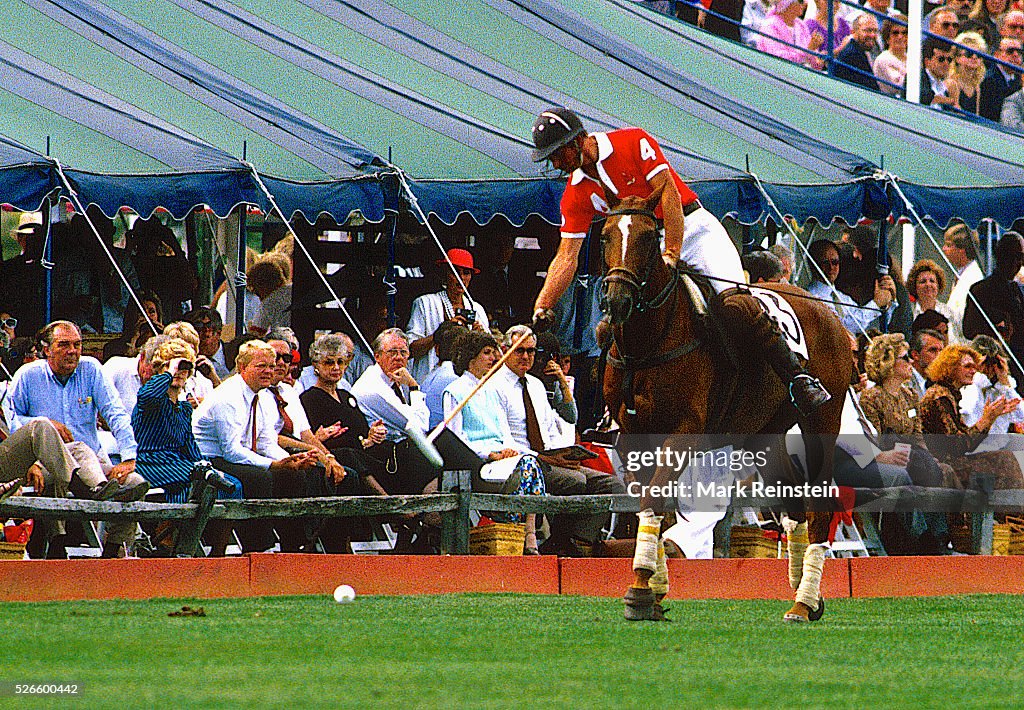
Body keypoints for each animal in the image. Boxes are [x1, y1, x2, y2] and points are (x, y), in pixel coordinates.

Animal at [598, 186, 847, 618]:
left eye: (647, 239)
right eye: (604, 237)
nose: (617, 301)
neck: (647, 342)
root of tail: (831, 315)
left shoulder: (684, 431)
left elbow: (655, 500)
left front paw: (640, 590)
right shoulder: (631, 438)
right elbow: (654, 505)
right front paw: (654, 591)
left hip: (822, 422)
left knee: (819, 507)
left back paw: (804, 602)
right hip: (767, 433)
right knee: (793, 508)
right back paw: (804, 595)